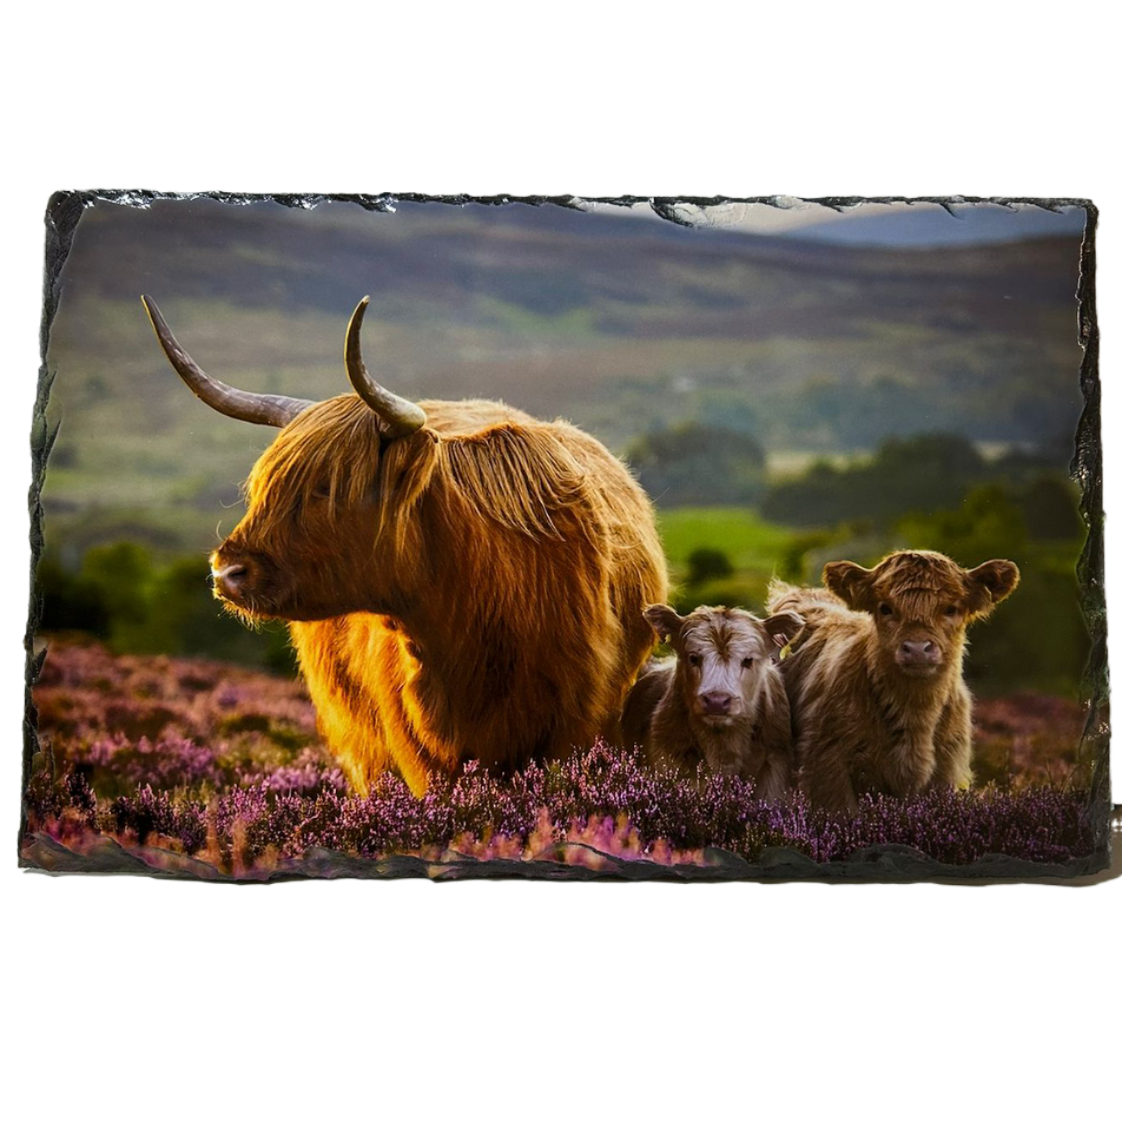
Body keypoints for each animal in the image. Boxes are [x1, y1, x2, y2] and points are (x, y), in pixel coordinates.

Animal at [767, 550, 1020, 813]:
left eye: (951, 609)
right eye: (886, 608)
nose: (917, 649)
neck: (914, 716)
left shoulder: (947, 771)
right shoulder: (827, 769)